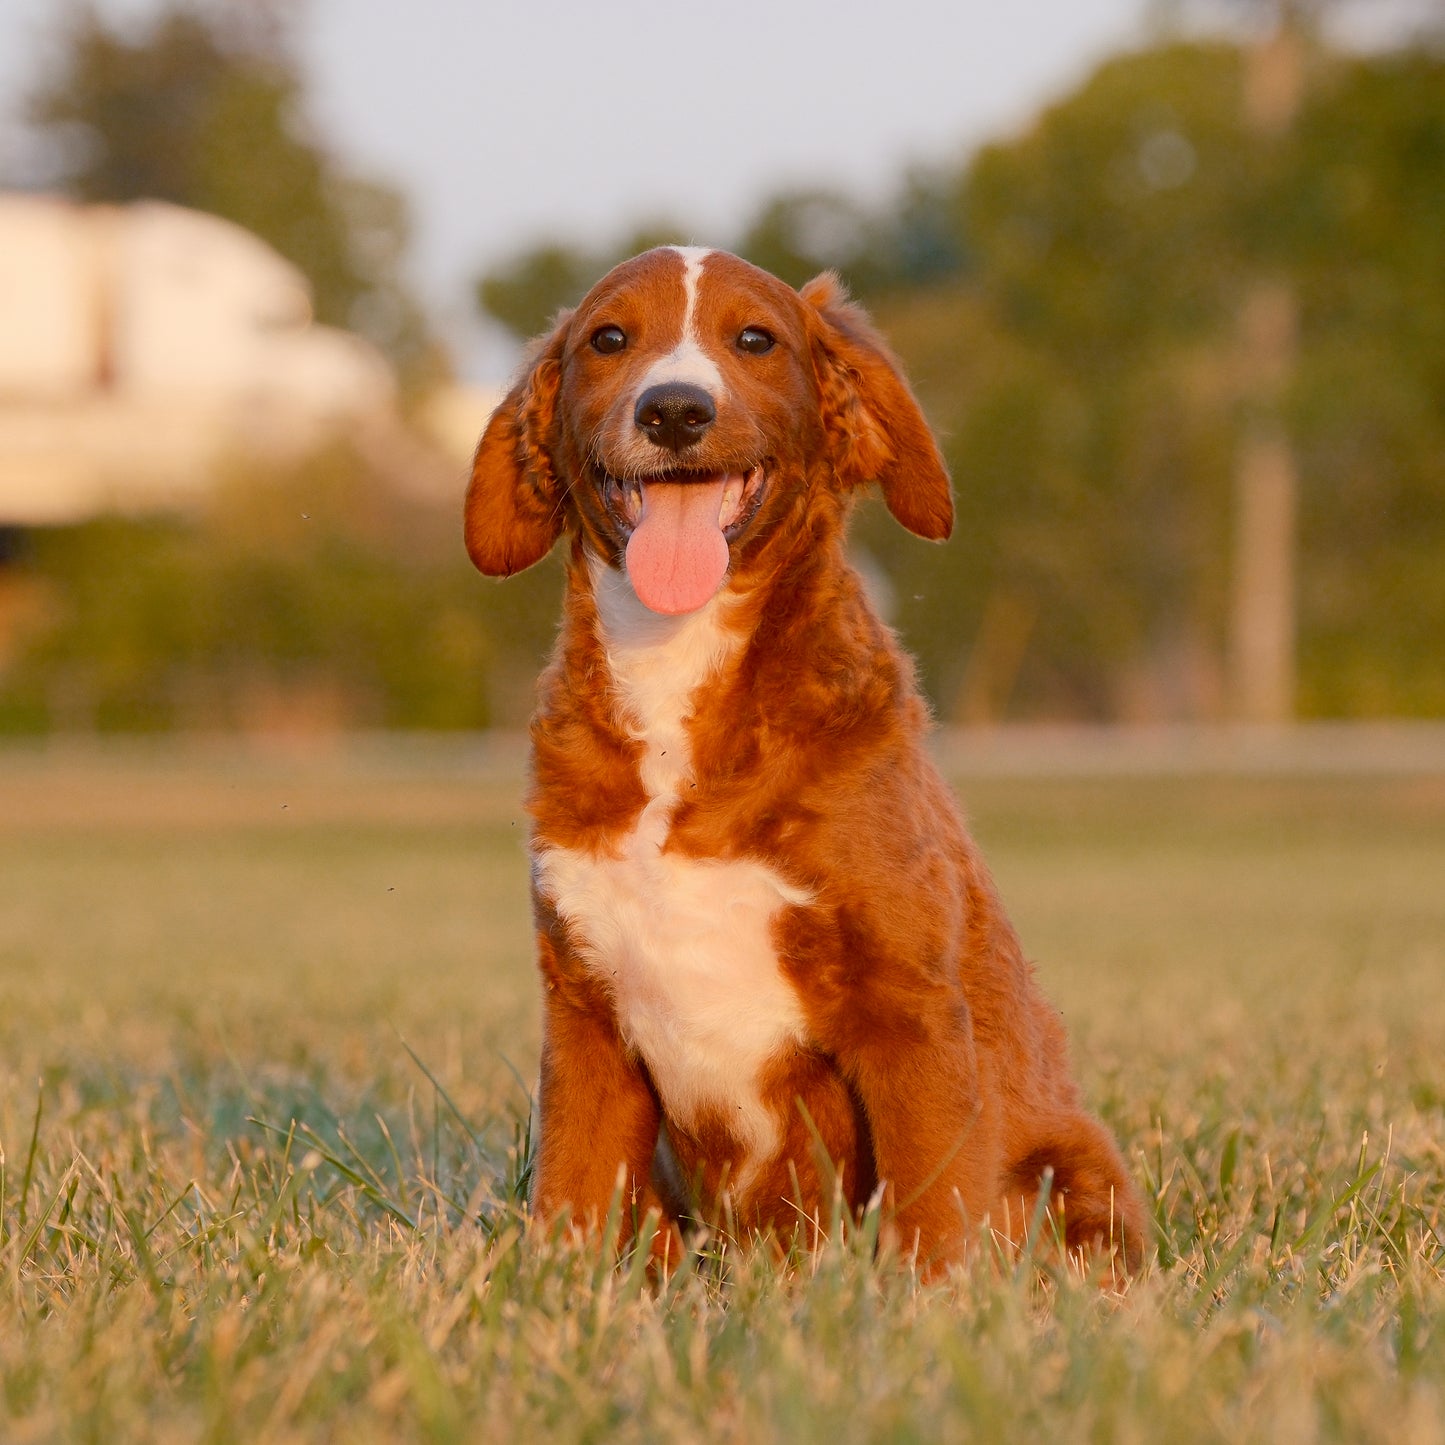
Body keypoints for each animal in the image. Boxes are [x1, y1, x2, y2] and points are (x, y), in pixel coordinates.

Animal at [468, 248, 1144, 1277]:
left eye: (756, 338)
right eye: (609, 338)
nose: (674, 410)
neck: (680, 663)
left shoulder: (909, 1006)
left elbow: (933, 1209)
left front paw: (933, 1307)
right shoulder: (583, 1012)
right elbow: (573, 1199)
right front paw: (550, 1297)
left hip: (1075, 1162)